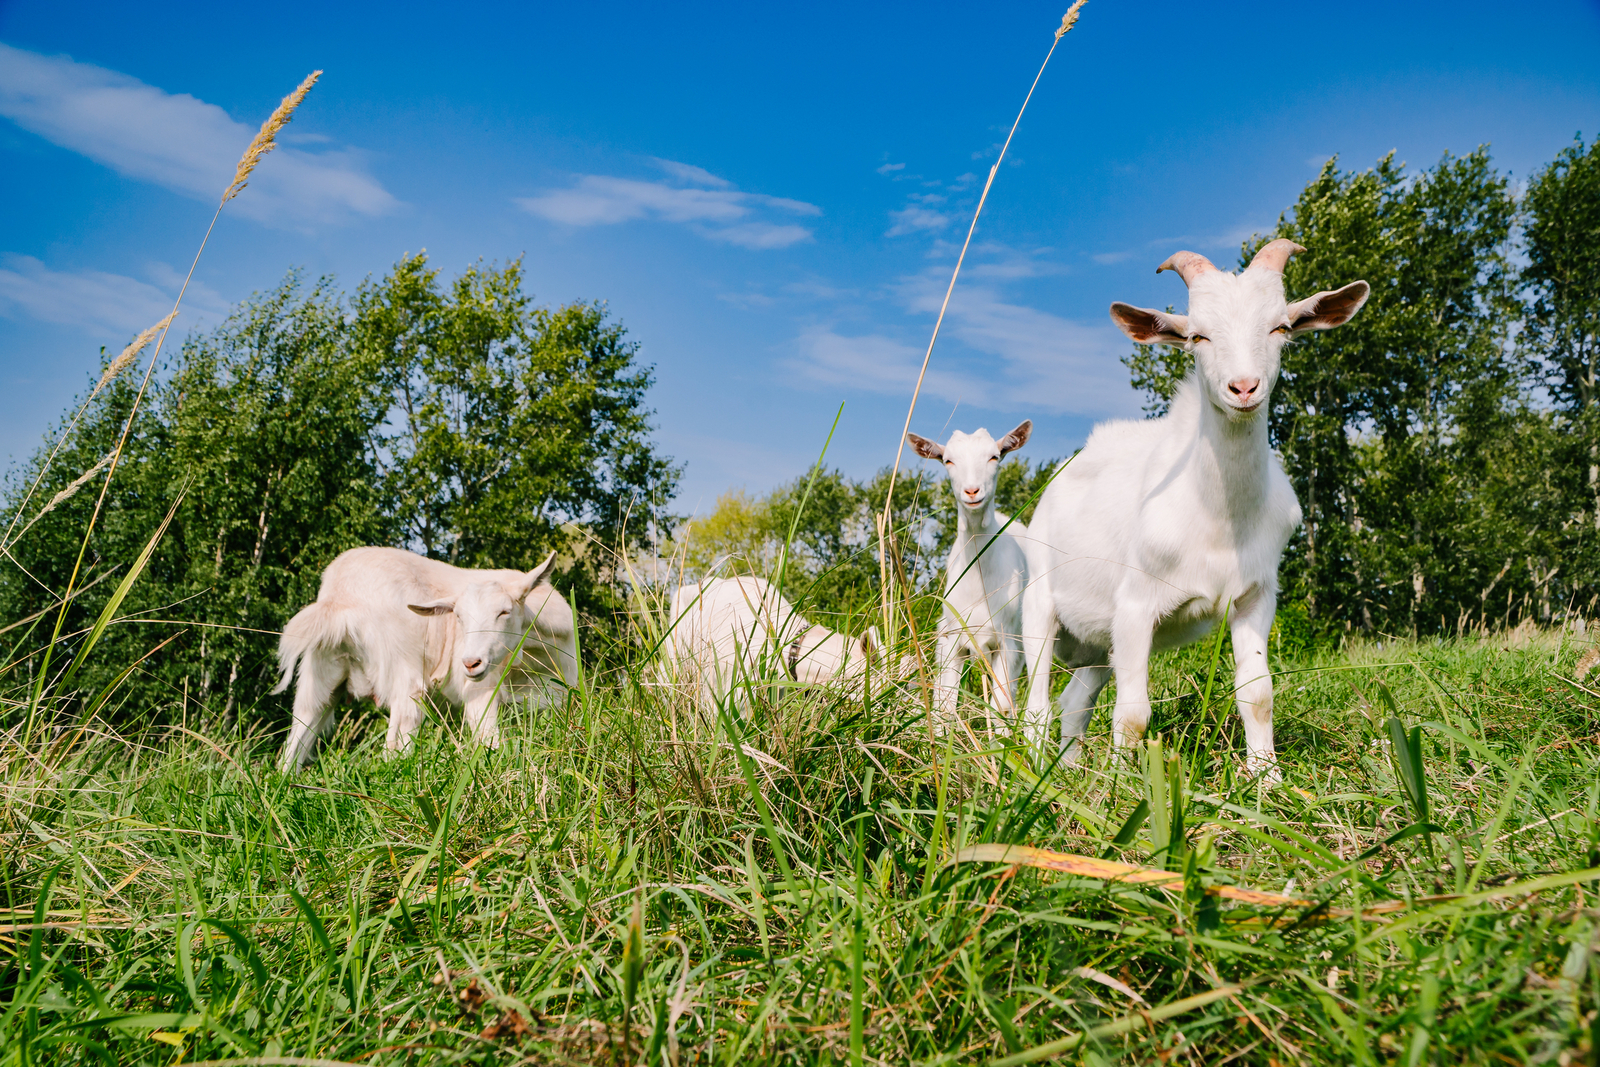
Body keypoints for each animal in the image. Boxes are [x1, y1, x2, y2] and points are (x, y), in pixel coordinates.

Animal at [272, 550, 579, 767]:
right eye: (458, 617)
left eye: (504, 612)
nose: (470, 662)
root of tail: (339, 597)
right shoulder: (480, 691)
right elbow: (489, 740)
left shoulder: (558, 695)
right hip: (403, 671)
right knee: (399, 738)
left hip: (321, 670)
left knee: (301, 731)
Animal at [1017, 239, 1369, 777]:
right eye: (1197, 335)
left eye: (1280, 328)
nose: (1243, 388)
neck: (1221, 521)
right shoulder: (1135, 605)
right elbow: (1133, 713)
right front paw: (1123, 788)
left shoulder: (1255, 598)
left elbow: (1258, 696)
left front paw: (1267, 779)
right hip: (1039, 600)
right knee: (1036, 702)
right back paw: (1039, 773)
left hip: (1098, 641)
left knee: (1073, 700)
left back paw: (1071, 772)